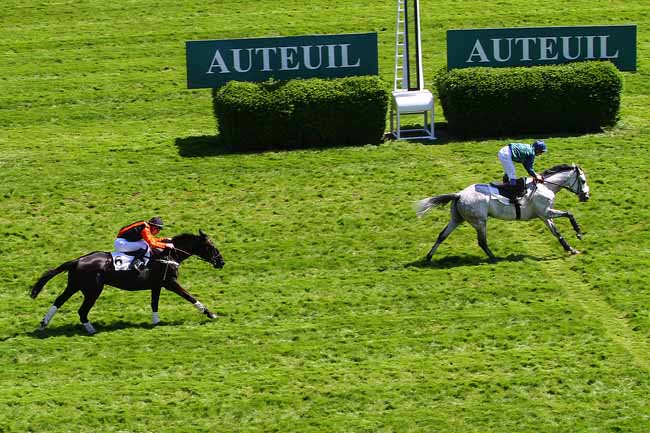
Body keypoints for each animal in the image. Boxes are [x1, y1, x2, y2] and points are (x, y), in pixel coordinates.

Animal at [30, 230, 225, 334]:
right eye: (211, 246)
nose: (221, 262)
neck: (168, 255)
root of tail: (77, 260)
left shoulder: (157, 285)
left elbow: (154, 303)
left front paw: (155, 322)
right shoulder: (170, 283)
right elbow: (190, 297)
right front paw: (211, 314)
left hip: (74, 286)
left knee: (58, 301)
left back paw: (43, 324)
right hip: (93, 290)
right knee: (82, 310)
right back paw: (91, 330)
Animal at [414, 164, 590, 261]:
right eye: (583, 181)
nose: (586, 196)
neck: (545, 186)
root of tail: (458, 195)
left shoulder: (544, 215)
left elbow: (557, 233)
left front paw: (571, 249)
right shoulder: (546, 212)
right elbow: (569, 214)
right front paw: (578, 233)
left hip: (457, 219)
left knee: (442, 235)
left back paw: (429, 256)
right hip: (480, 221)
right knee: (482, 241)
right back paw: (493, 257)